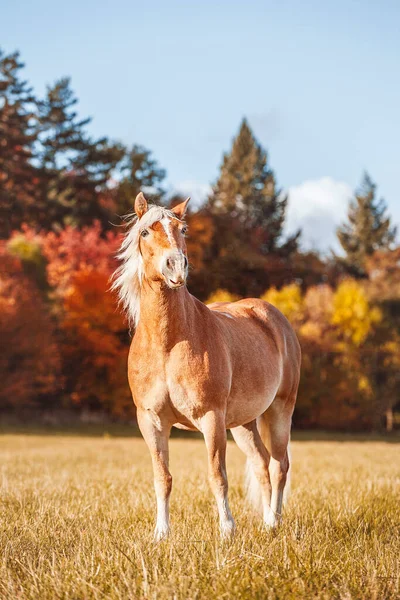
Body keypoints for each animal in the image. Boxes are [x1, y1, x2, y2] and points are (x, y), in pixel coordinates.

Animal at [111, 195, 300, 540]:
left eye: (182, 229)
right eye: (145, 232)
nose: (175, 265)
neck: (168, 344)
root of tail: (271, 315)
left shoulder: (211, 419)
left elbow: (217, 476)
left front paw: (227, 530)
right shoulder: (151, 422)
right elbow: (163, 478)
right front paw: (161, 533)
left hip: (280, 409)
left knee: (279, 465)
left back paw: (273, 522)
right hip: (243, 423)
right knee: (262, 464)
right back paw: (266, 522)